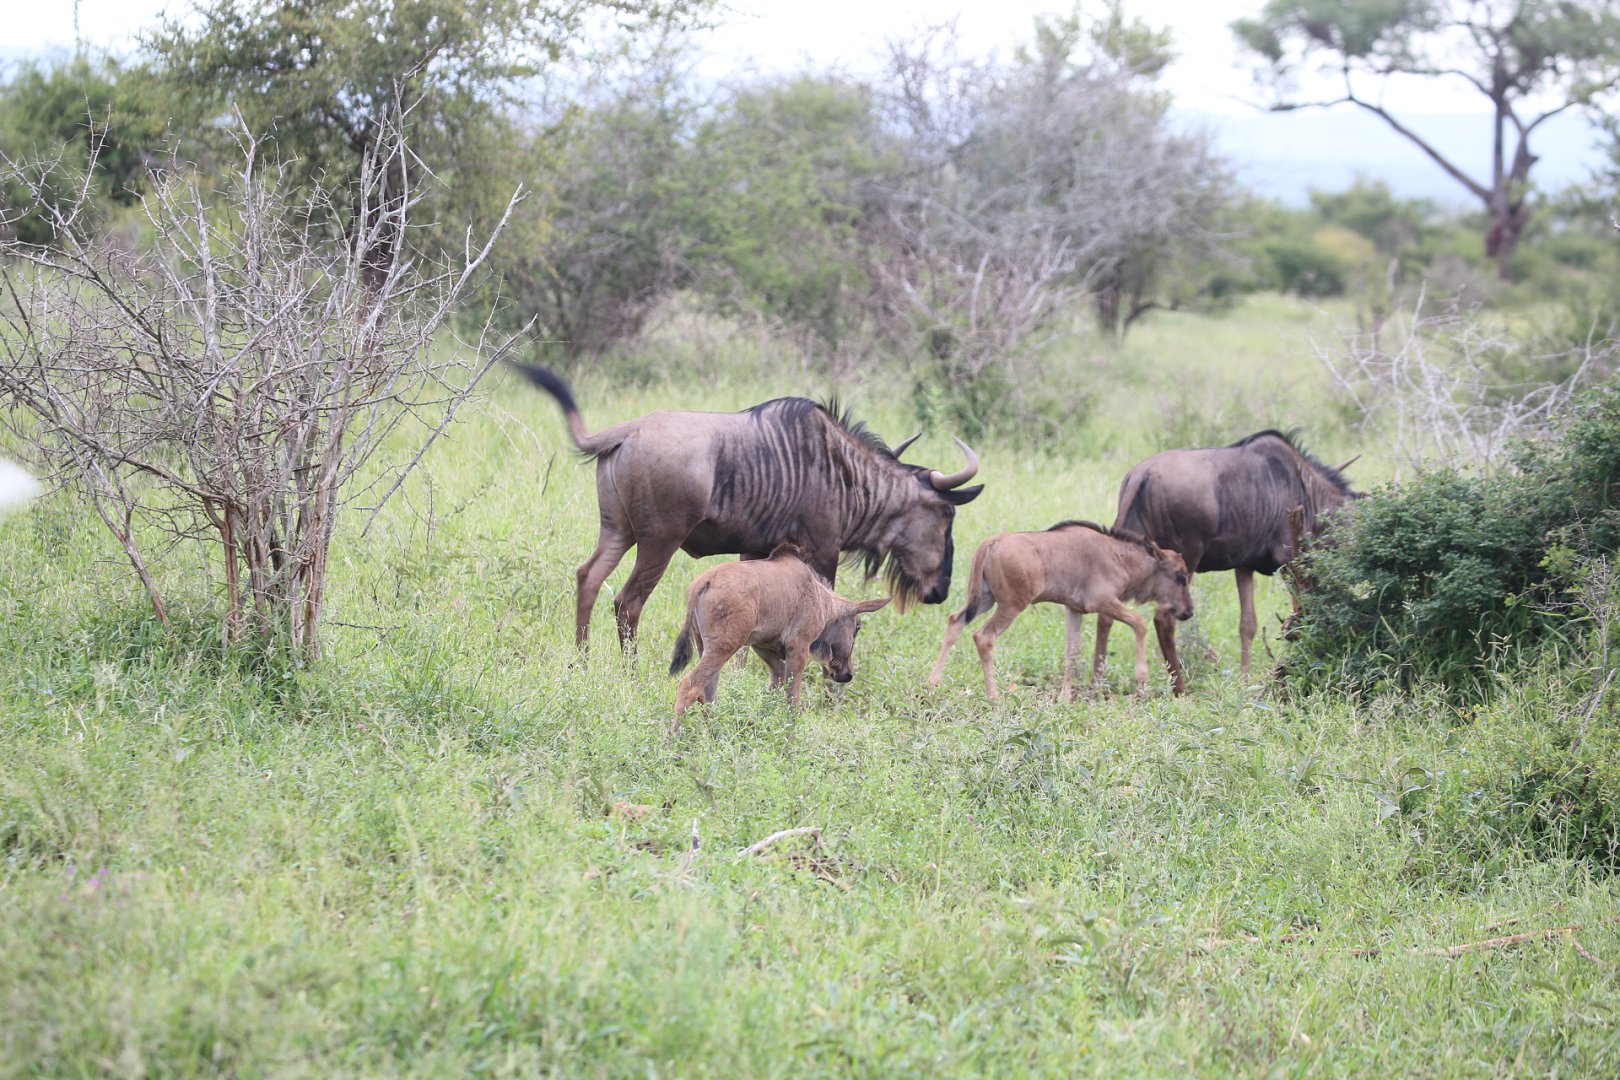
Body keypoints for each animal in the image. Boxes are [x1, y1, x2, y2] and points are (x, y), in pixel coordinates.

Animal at [667, 540, 894, 735]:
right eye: (858, 627)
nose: (846, 674)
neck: (822, 600)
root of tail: (703, 582)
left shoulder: (763, 647)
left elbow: (774, 687)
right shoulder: (798, 647)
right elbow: (793, 698)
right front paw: (790, 739)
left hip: (705, 648)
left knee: (708, 694)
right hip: (722, 648)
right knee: (689, 686)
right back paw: (672, 743)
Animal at [933, 521, 1198, 702]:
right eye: (1181, 576)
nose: (1188, 611)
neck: (1120, 558)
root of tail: (990, 543)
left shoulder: (1073, 609)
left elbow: (1072, 650)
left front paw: (1064, 696)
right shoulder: (1103, 601)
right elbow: (1139, 623)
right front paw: (1141, 680)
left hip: (984, 600)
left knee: (955, 621)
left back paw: (933, 683)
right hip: (1011, 605)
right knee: (984, 636)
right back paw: (994, 696)